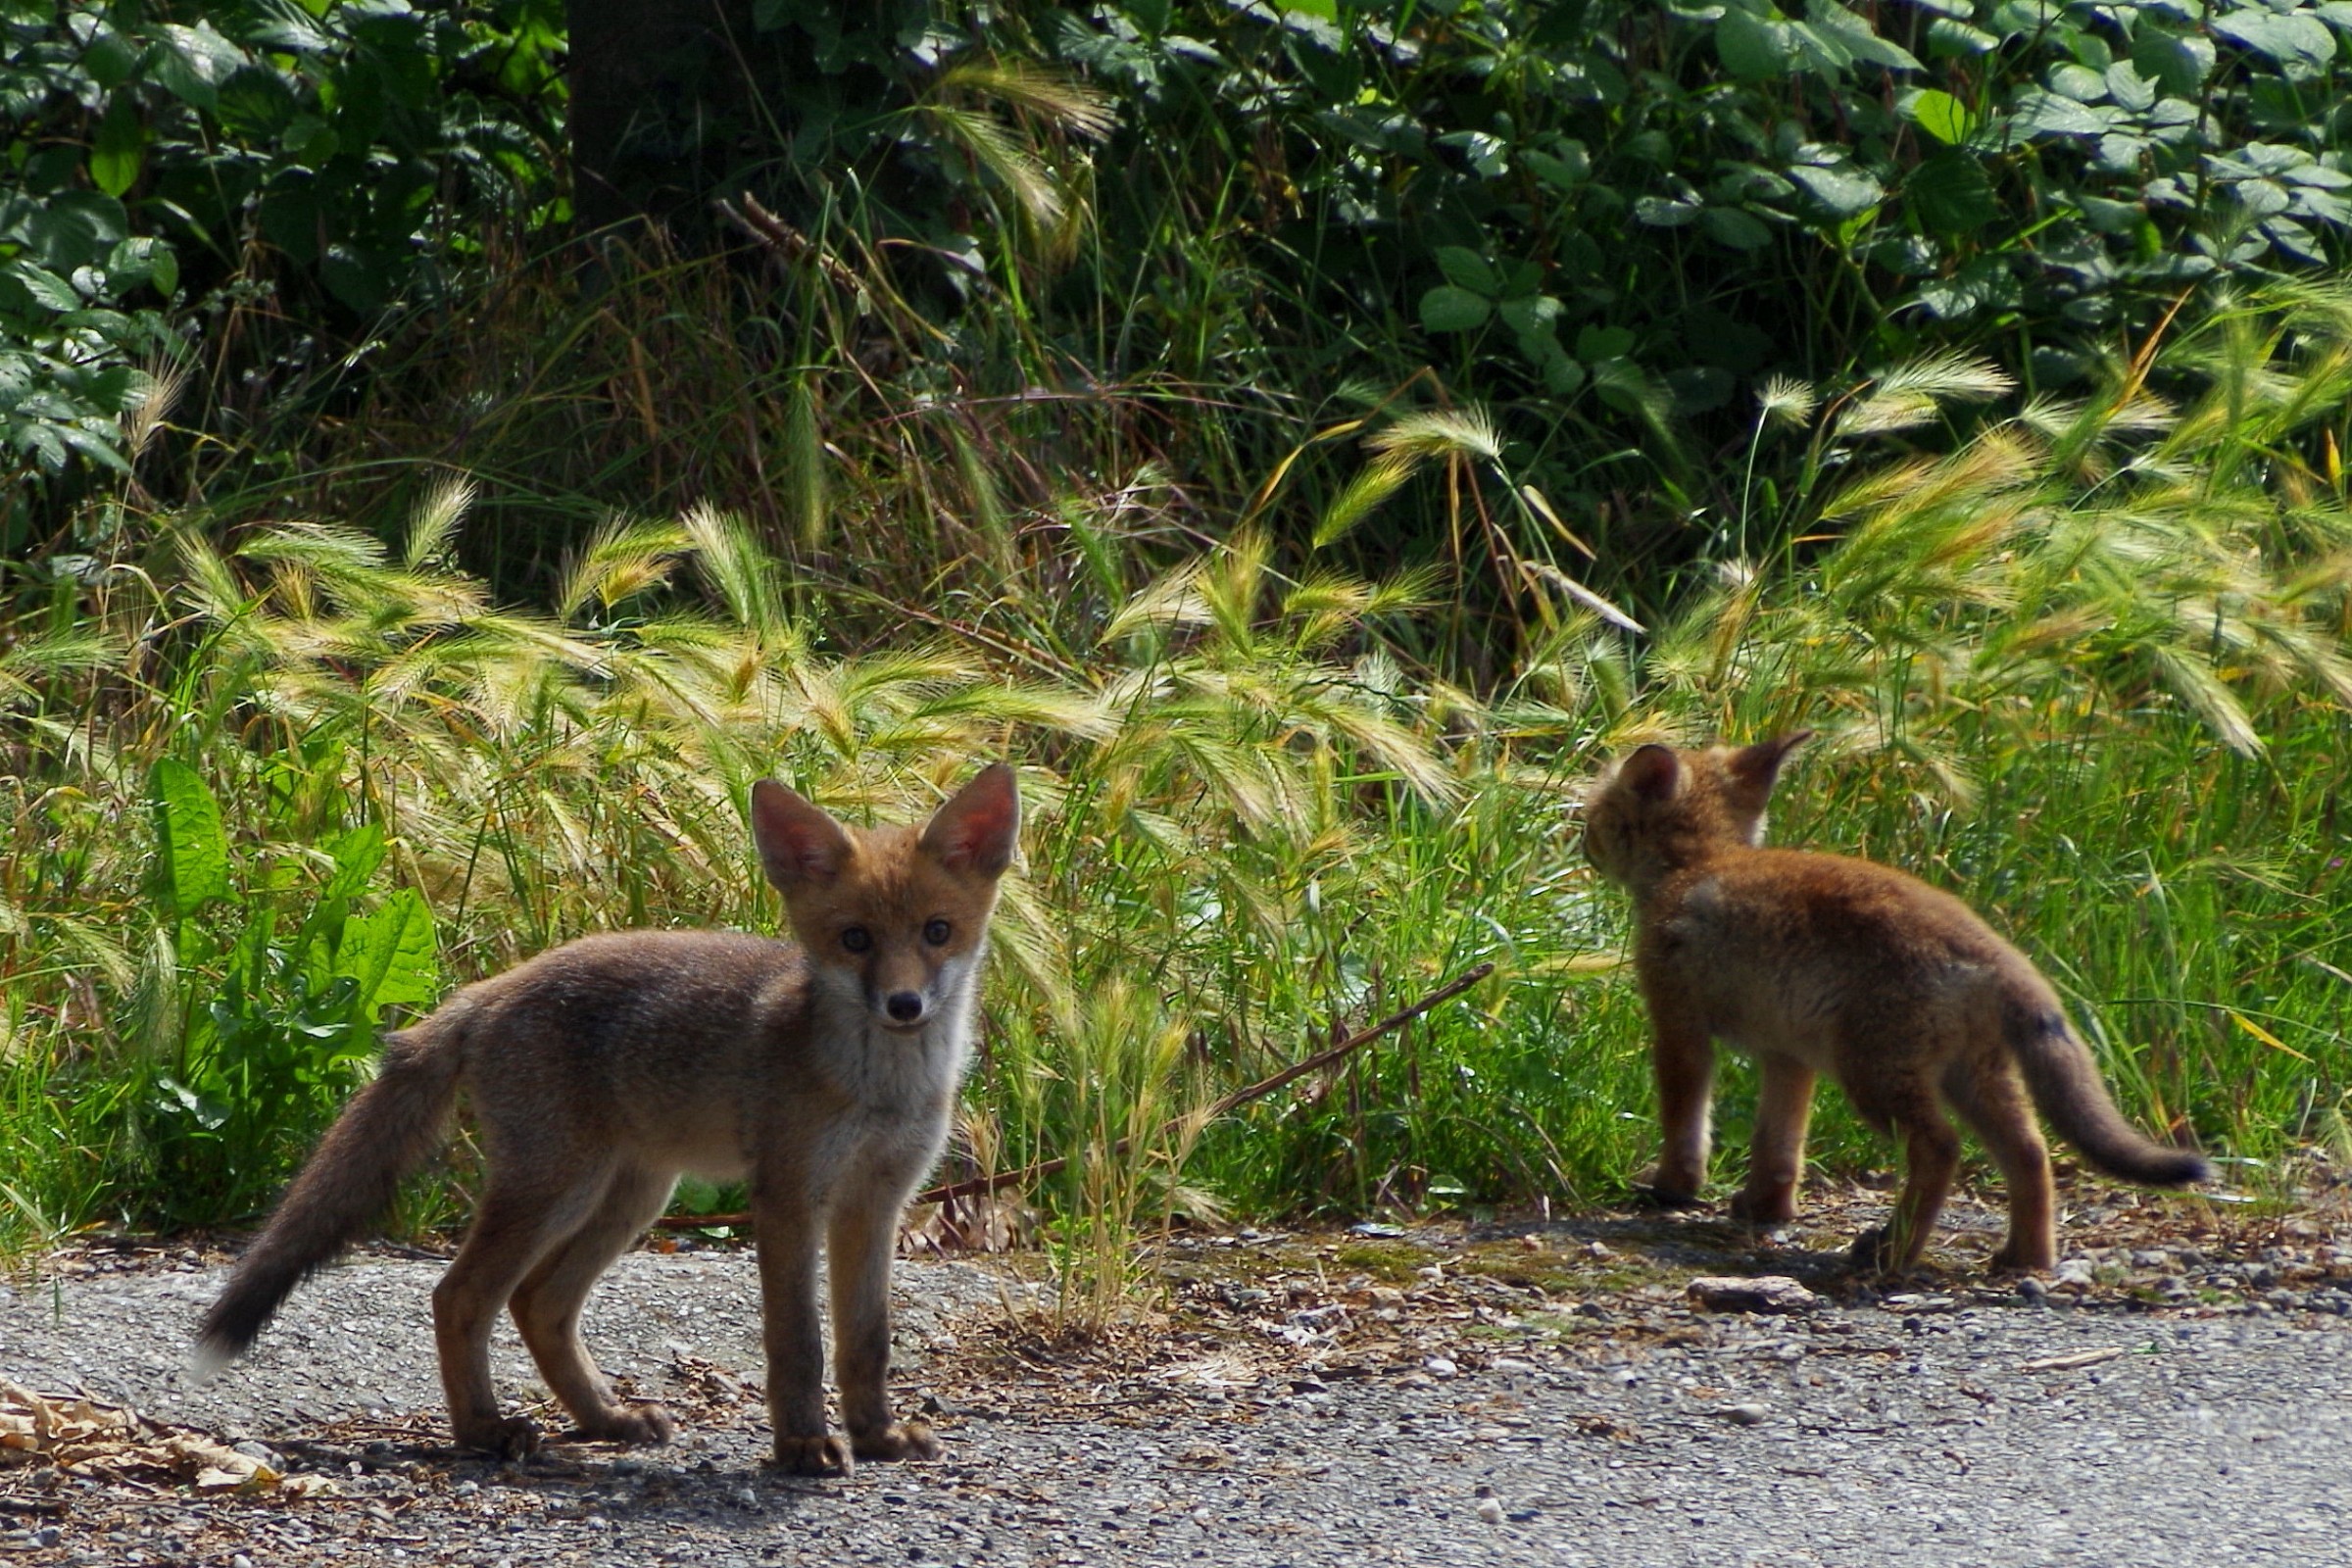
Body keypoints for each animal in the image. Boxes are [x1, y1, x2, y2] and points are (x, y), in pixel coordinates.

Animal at [195, 764, 1021, 1474]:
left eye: (937, 931)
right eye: (855, 940)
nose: (905, 1006)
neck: (880, 1088)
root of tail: (489, 990)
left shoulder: (875, 1202)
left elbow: (865, 1340)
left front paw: (876, 1435)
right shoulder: (788, 1198)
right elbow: (798, 1343)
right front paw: (803, 1448)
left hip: (630, 1197)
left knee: (539, 1304)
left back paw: (602, 1418)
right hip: (558, 1188)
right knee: (461, 1297)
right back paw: (484, 1431)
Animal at [1581, 732, 2206, 1273]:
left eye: (1594, 815)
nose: (1583, 846)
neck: (1697, 865)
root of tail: (1996, 954)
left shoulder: (1678, 1027)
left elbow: (1686, 1124)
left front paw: (1671, 1189)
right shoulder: (1789, 1055)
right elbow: (1779, 1148)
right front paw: (1764, 1210)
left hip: (1875, 1076)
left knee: (1941, 1149)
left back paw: (1895, 1252)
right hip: (1971, 1078)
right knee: (2030, 1153)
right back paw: (2022, 1258)